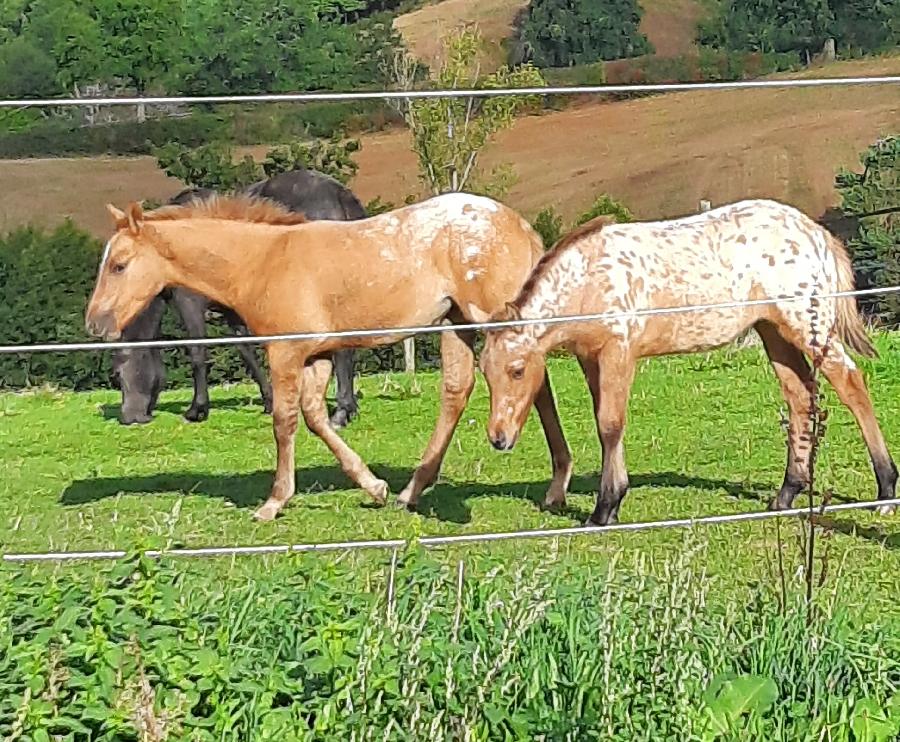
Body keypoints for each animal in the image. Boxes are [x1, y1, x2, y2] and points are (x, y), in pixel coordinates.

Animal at [113, 168, 367, 428]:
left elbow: (197, 351)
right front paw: (269, 401)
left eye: (119, 375)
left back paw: (342, 411)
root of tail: (339, 193)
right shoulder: (231, 310)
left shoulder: (188, 301)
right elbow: (246, 351)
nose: (128, 417)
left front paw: (197, 408)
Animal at [476, 198, 898, 526]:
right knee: (800, 397)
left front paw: (604, 508)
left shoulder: (618, 353)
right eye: (486, 374)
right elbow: (605, 423)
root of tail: (816, 233)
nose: (498, 438)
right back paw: (786, 494)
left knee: (851, 384)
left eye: (517, 370)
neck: (588, 280)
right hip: (774, 332)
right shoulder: (591, 359)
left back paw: (885, 490)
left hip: (808, 326)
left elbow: (610, 424)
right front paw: (612, 502)